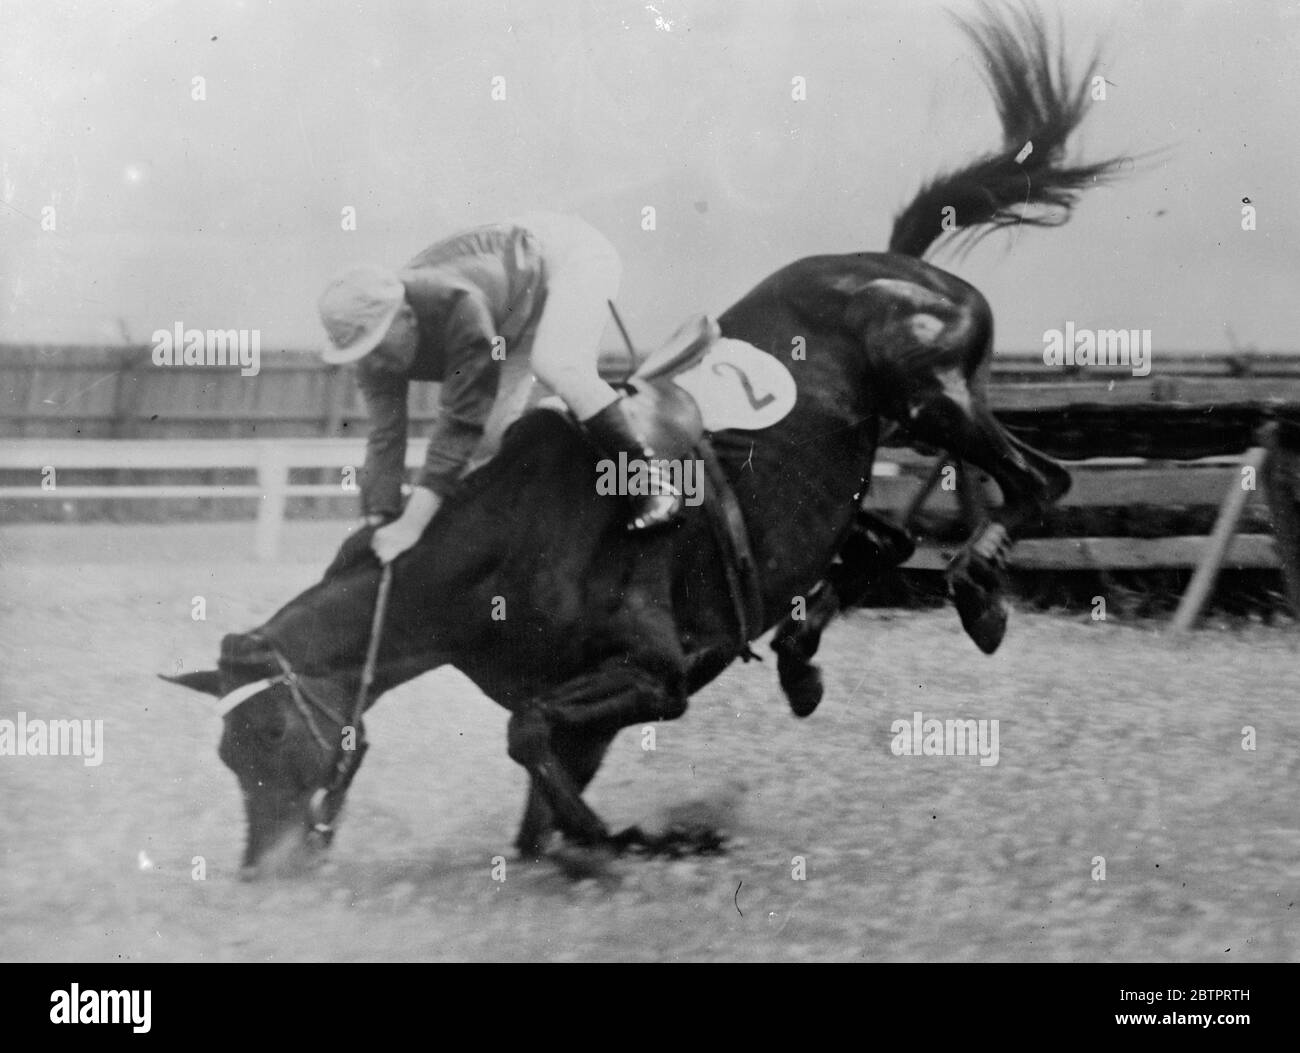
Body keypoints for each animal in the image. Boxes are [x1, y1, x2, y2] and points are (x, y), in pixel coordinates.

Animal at [165, 8, 1118, 873]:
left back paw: (980, 594)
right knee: (887, 538)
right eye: (228, 750)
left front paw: (627, 841)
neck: (496, 559)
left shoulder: (651, 673)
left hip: (934, 394)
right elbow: (537, 787)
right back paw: (804, 659)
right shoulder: (585, 699)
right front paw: (614, 838)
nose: (262, 869)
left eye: (266, 734)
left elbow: (529, 739)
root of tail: (897, 261)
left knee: (1038, 483)